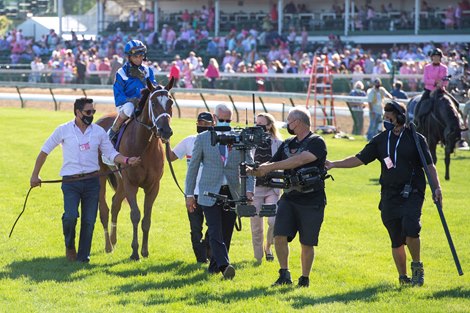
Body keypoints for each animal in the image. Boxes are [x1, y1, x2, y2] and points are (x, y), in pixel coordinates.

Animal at [95, 77, 174, 258]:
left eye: (170, 102)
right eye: (153, 102)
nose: (165, 131)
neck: (144, 146)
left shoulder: (153, 186)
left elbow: (147, 218)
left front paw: (144, 250)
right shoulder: (131, 184)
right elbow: (136, 215)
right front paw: (134, 251)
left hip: (120, 180)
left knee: (115, 203)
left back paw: (114, 240)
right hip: (101, 175)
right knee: (104, 209)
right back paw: (108, 245)